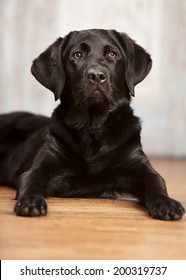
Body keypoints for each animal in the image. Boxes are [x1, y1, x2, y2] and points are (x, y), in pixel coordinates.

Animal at [0, 29, 185, 220]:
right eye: (77, 55)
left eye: (112, 54)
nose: (96, 75)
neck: (93, 127)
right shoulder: (41, 164)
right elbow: (31, 179)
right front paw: (31, 201)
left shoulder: (140, 166)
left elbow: (157, 182)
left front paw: (166, 203)